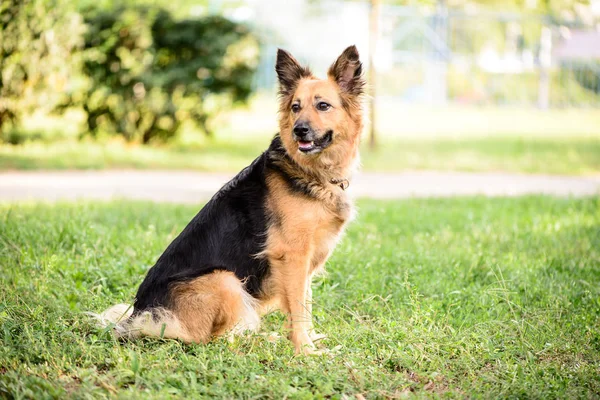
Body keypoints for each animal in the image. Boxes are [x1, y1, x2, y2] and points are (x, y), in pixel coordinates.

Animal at [97, 45, 366, 354]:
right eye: (295, 107)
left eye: (323, 106)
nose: (299, 130)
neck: (310, 171)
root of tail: (141, 315)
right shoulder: (292, 255)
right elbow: (298, 307)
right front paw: (305, 350)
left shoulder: (306, 260)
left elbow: (305, 302)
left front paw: (310, 340)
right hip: (224, 279)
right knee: (211, 340)